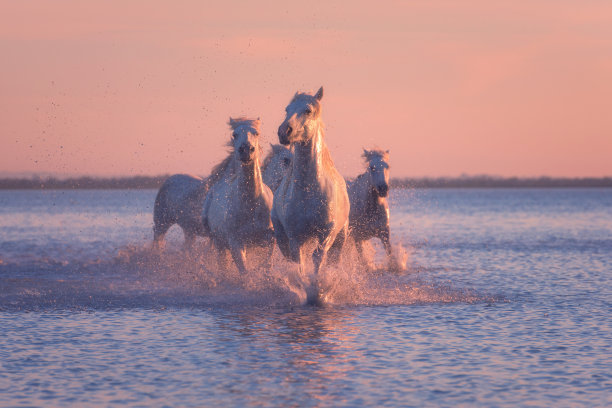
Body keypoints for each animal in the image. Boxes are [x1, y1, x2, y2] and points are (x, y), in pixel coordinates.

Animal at [202, 116, 274, 272]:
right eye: (234, 134)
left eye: (256, 133)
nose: (246, 150)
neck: (252, 204)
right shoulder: (236, 243)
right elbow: (244, 271)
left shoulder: (270, 238)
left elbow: (267, 264)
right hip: (219, 242)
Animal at [272, 86, 350, 302]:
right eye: (286, 109)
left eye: (308, 110)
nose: (284, 131)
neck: (308, 191)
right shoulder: (294, 237)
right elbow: (299, 263)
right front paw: (306, 290)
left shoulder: (327, 233)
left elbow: (318, 258)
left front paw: (318, 291)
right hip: (283, 238)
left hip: (340, 237)